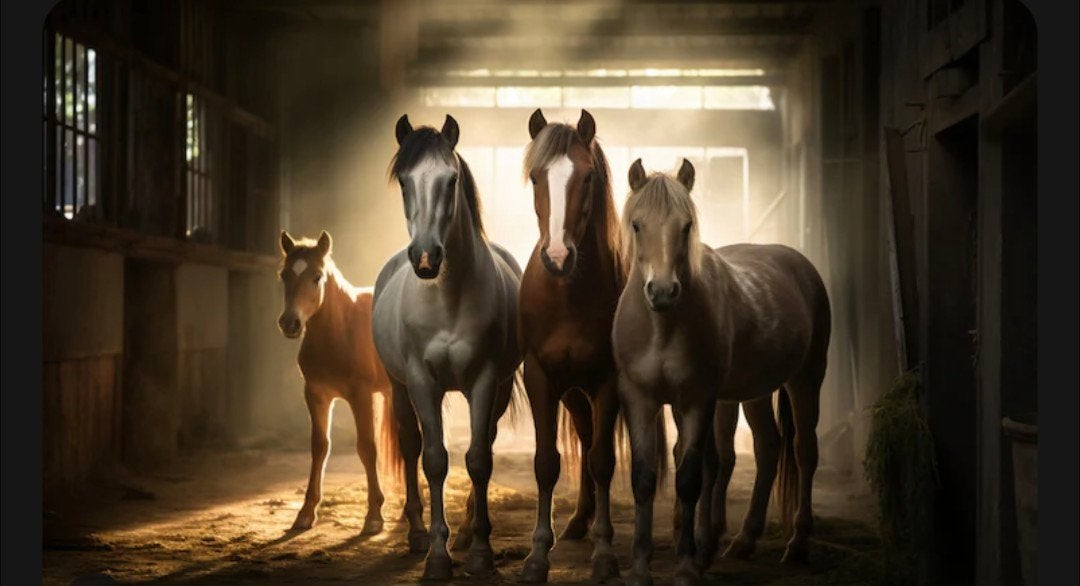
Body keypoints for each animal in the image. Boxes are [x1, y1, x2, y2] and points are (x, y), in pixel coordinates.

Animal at [276, 230, 401, 536]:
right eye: (284, 275)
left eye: (317, 277)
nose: (290, 323)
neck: (340, 331)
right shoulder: (316, 395)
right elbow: (319, 447)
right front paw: (305, 513)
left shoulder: (361, 396)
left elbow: (367, 447)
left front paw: (374, 516)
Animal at [371, 114, 525, 580]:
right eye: (405, 181)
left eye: (451, 180)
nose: (425, 258)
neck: (448, 297)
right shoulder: (422, 383)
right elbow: (434, 459)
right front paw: (437, 557)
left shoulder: (486, 380)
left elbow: (478, 459)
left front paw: (480, 552)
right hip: (398, 387)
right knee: (409, 444)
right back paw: (417, 534)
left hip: (500, 388)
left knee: (486, 442)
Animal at [517, 109, 667, 583]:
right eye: (535, 177)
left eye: (586, 177)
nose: (558, 257)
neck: (567, 294)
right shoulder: (540, 377)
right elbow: (546, 463)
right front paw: (537, 555)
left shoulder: (607, 380)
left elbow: (603, 460)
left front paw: (604, 554)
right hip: (572, 392)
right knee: (583, 436)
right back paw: (578, 520)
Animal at [612, 159, 830, 585]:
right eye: (637, 225)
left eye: (686, 226)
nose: (662, 292)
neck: (661, 327)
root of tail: (799, 265)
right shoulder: (639, 399)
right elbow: (645, 478)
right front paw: (642, 567)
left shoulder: (698, 400)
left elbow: (691, 476)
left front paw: (686, 564)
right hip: (754, 392)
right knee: (768, 447)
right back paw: (744, 540)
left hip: (806, 379)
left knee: (803, 451)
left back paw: (797, 544)